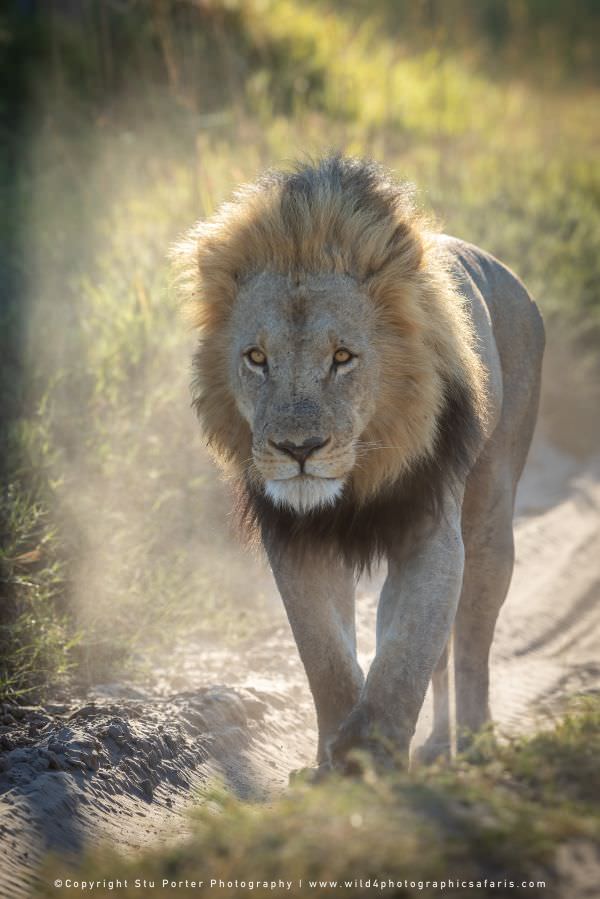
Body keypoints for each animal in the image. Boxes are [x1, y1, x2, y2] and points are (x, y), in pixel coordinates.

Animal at [173, 156, 544, 772]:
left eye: (343, 357)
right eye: (257, 358)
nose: (298, 449)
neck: (360, 475)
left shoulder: (430, 529)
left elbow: (405, 653)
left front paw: (371, 753)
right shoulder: (296, 539)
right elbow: (326, 656)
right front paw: (334, 760)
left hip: (491, 511)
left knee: (471, 639)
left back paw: (471, 743)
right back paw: (437, 744)